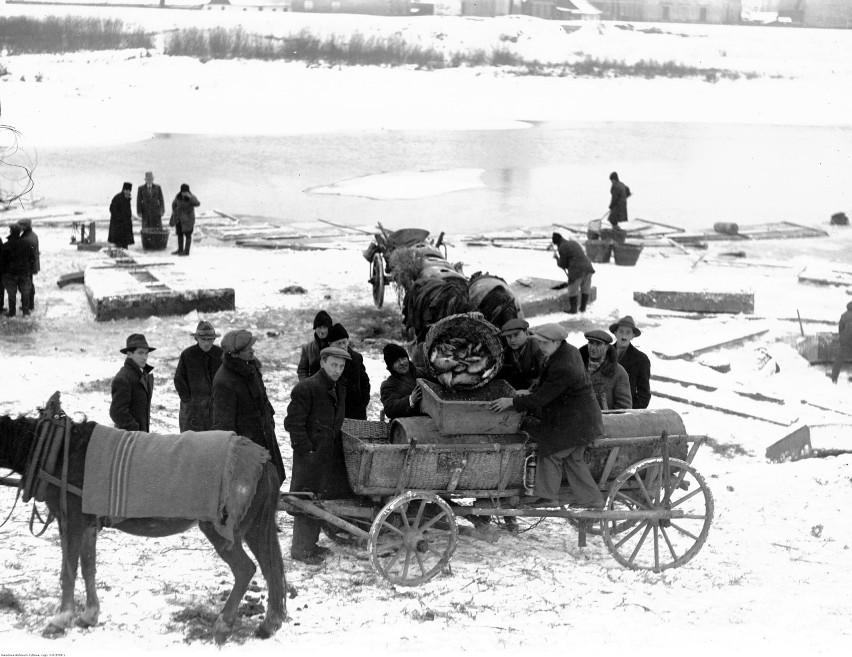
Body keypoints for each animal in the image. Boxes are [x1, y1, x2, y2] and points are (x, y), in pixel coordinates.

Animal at [0, 394, 286, 640]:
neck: (59, 449)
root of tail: (262, 461)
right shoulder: (88, 526)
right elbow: (88, 567)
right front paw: (89, 615)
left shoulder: (71, 523)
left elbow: (68, 572)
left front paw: (61, 619)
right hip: (253, 529)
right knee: (269, 569)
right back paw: (269, 623)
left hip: (221, 531)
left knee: (245, 569)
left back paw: (224, 622)